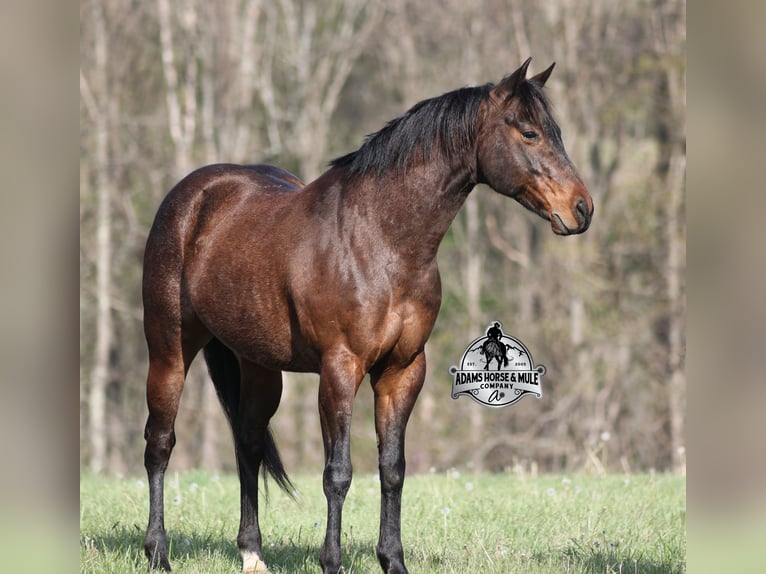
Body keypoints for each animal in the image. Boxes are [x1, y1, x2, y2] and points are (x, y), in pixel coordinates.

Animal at [141, 58, 592, 574]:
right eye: (529, 132)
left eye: (554, 132)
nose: (581, 208)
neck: (381, 240)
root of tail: (192, 196)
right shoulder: (340, 369)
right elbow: (338, 472)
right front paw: (332, 562)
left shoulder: (402, 371)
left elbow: (392, 469)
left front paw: (392, 560)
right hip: (169, 352)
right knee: (160, 443)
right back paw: (157, 553)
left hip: (258, 366)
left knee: (249, 444)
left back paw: (252, 554)